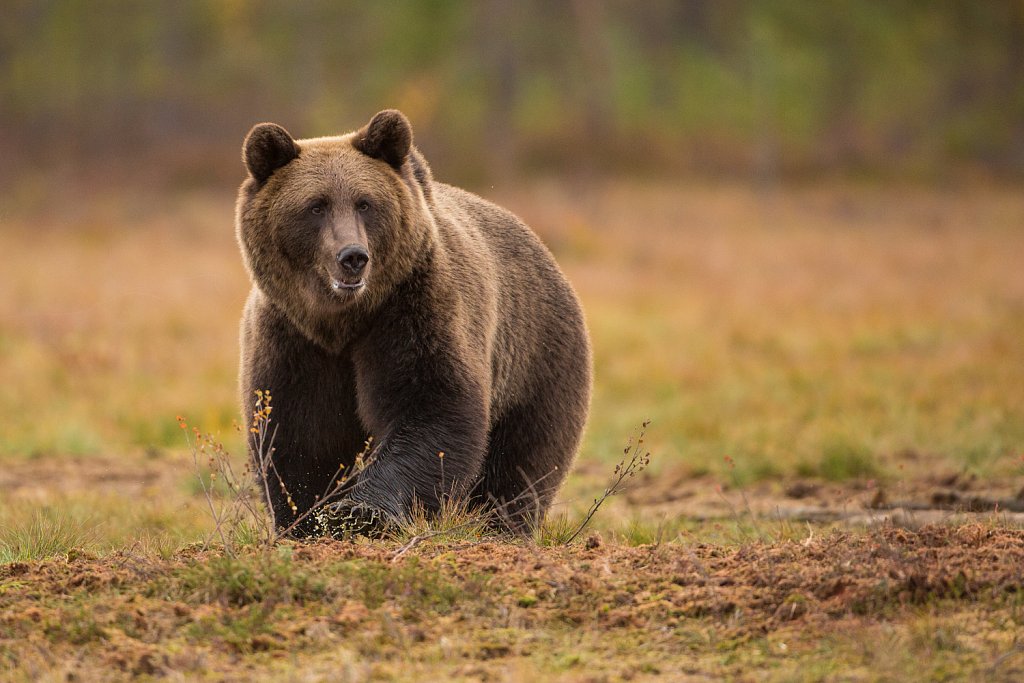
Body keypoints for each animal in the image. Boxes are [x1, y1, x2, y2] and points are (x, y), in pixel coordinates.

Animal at [234, 109, 589, 536]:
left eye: (365, 203)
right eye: (316, 206)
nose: (353, 256)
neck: (343, 321)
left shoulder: (413, 310)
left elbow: (432, 408)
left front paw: (359, 510)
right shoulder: (291, 336)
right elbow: (300, 431)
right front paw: (306, 518)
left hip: (535, 359)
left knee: (522, 462)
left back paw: (503, 524)